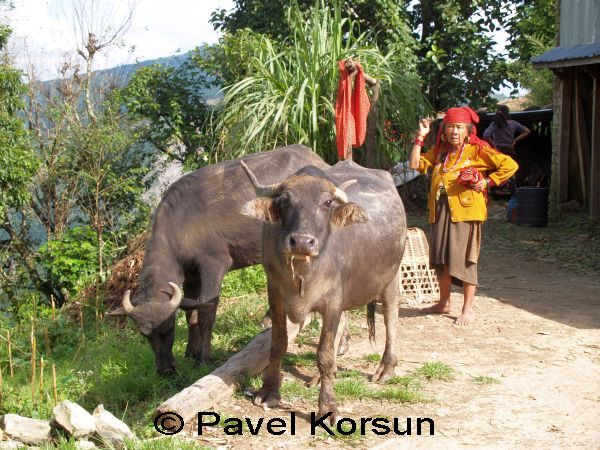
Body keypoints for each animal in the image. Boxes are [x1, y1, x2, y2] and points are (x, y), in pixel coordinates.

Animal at [109, 144, 332, 372]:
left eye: (169, 329)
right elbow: (191, 314)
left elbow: (207, 313)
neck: (181, 224)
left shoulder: (213, 265)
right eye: (145, 334)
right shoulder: (190, 276)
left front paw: (202, 357)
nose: (165, 370)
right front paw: (190, 352)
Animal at [240, 159, 408, 422]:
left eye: (327, 202)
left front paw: (328, 406)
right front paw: (269, 392)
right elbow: (277, 344)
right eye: (285, 200)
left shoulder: (332, 302)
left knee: (391, 313)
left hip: (391, 275)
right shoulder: (275, 295)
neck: (302, 271)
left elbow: (324, 354)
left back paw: (386, 368)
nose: (301, 241)